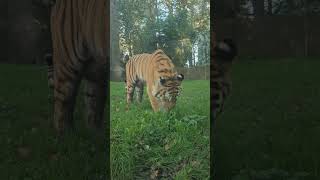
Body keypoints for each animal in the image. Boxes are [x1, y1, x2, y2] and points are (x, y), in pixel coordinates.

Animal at [49, 0, 109, 134]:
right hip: (68, 59)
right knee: (61, 99)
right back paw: (63, 134)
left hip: (95, 69)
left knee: (93, 102)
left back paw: (93, 133)